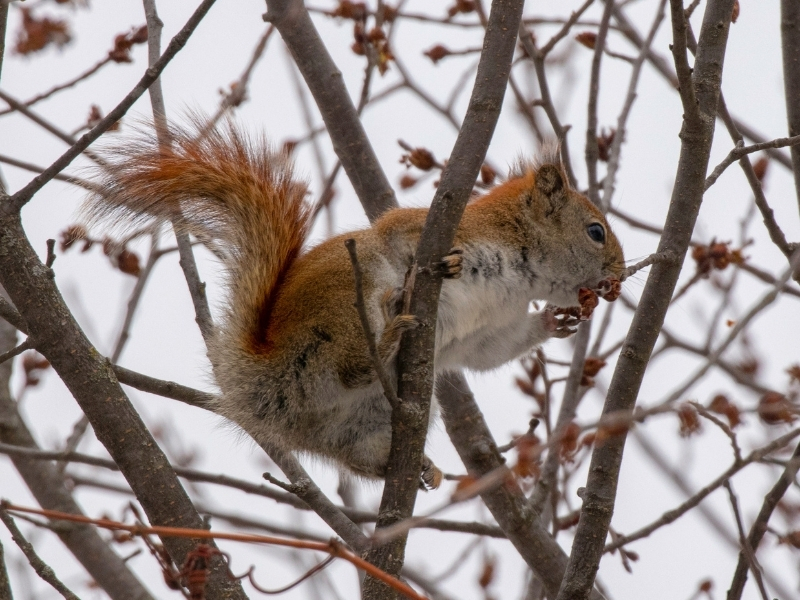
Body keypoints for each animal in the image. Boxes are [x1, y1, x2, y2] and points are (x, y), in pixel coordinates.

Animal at [83, 119, 625, 488]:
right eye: (596, 232)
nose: (619, 279)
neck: (519, 274)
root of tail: (263, 377)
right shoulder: (423, 229)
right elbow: (406, 239)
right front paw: (444, 264)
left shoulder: (493, 326)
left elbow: (490, 352)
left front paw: (556, 321)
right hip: (346, 301)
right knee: (350, 365)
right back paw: (387, 329)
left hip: (358, 420)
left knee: (359, 450)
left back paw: (413, 465)